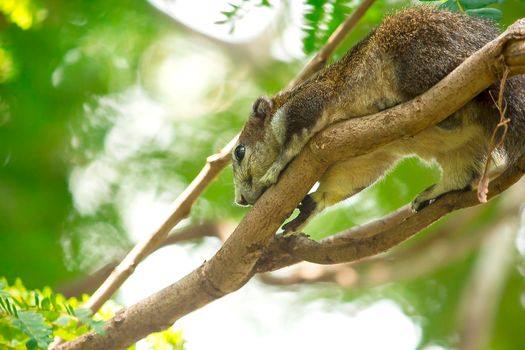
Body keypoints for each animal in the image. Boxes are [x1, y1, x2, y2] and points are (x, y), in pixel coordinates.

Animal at [232, 5, 524, 232]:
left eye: (239, 151)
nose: (240, 201)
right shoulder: (365, 157)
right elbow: (347, 180)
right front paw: (310, 207)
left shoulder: (310, 101)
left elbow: (293, 138)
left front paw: (275, 168)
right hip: (462, 148)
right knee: (461, 176)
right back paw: (433, 190)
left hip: (420, 58)